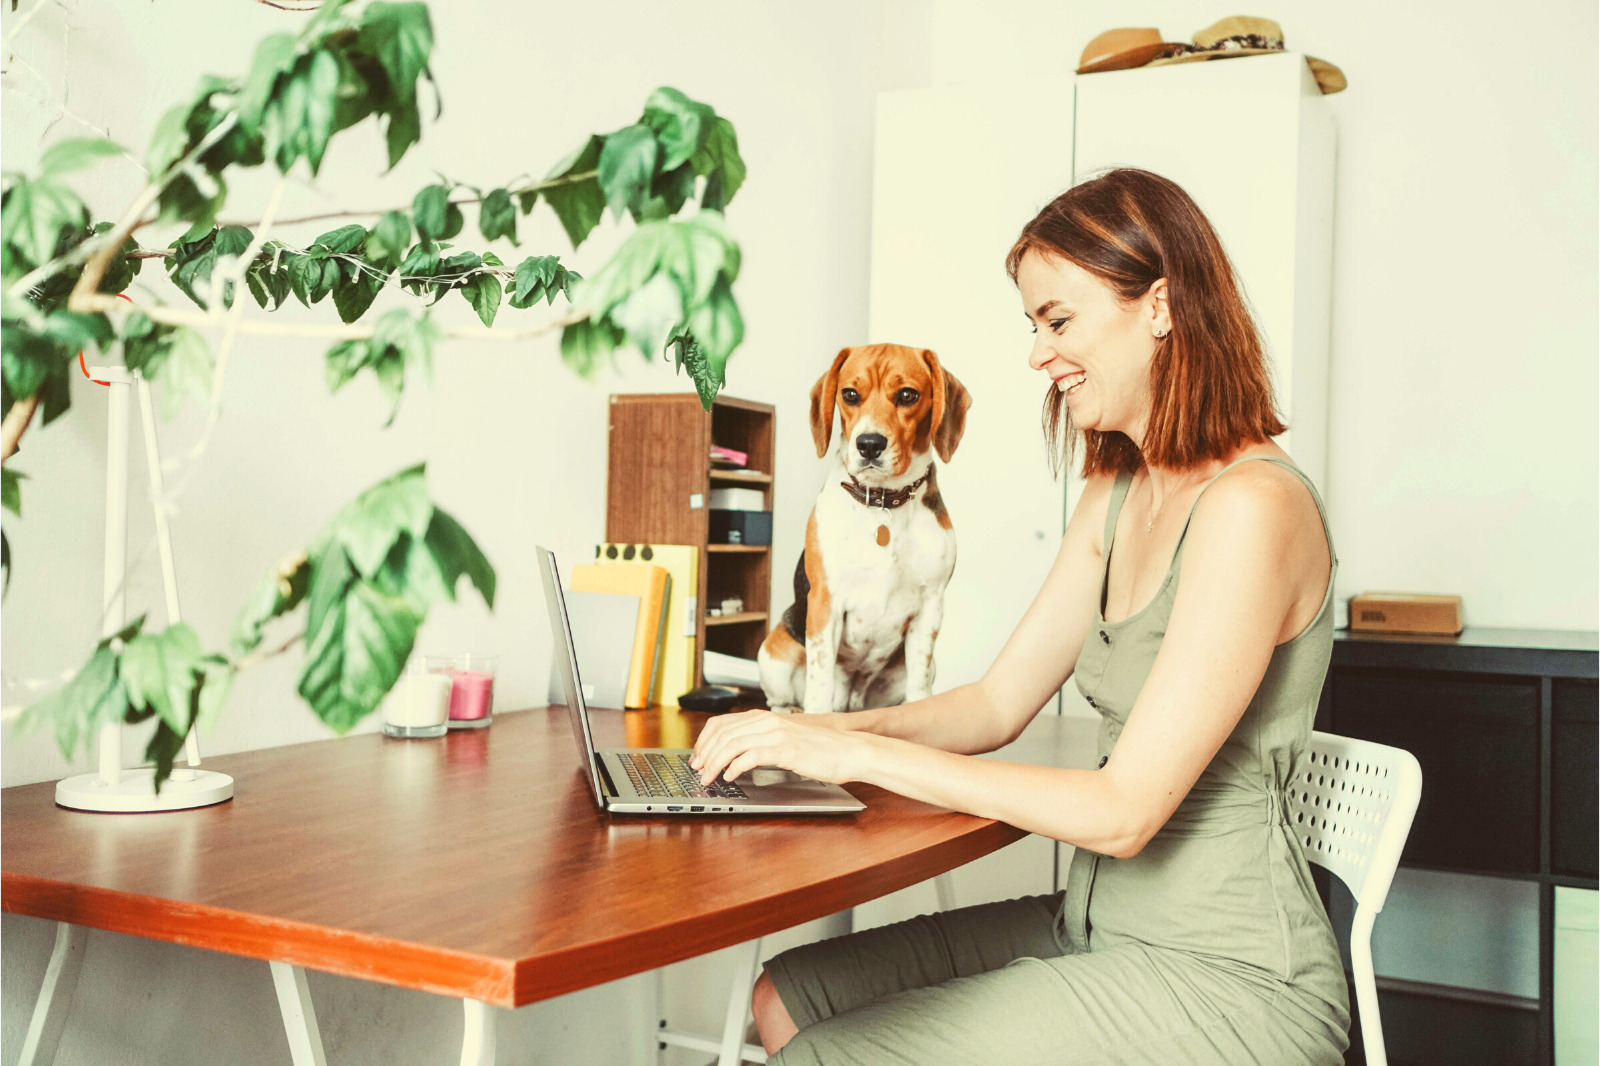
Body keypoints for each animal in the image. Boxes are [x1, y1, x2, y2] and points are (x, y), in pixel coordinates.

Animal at [755, 344, 966, 710]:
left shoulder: (930, 607)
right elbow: (820, 683)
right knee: (781, 700)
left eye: (907, 395)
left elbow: (919, 684)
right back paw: (795, 710)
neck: (882, 503)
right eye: (850, 395)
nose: (869, 444)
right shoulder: (825, 602)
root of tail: (851, 700)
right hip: (773, 653)